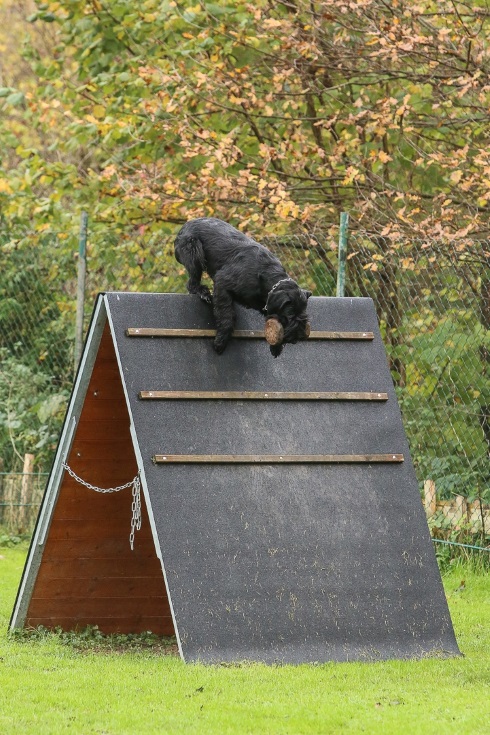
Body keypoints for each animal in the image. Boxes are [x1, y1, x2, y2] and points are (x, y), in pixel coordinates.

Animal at [174, 217, 312, 358]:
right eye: (290, 314)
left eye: (303, 312)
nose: (297, 337)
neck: (265, 276)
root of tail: (185, 225)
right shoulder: (223, 283)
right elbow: (226, 315)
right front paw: (220, 342)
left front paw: (276, 347)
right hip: (193, 250)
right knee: (192, 282)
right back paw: (202, 292)